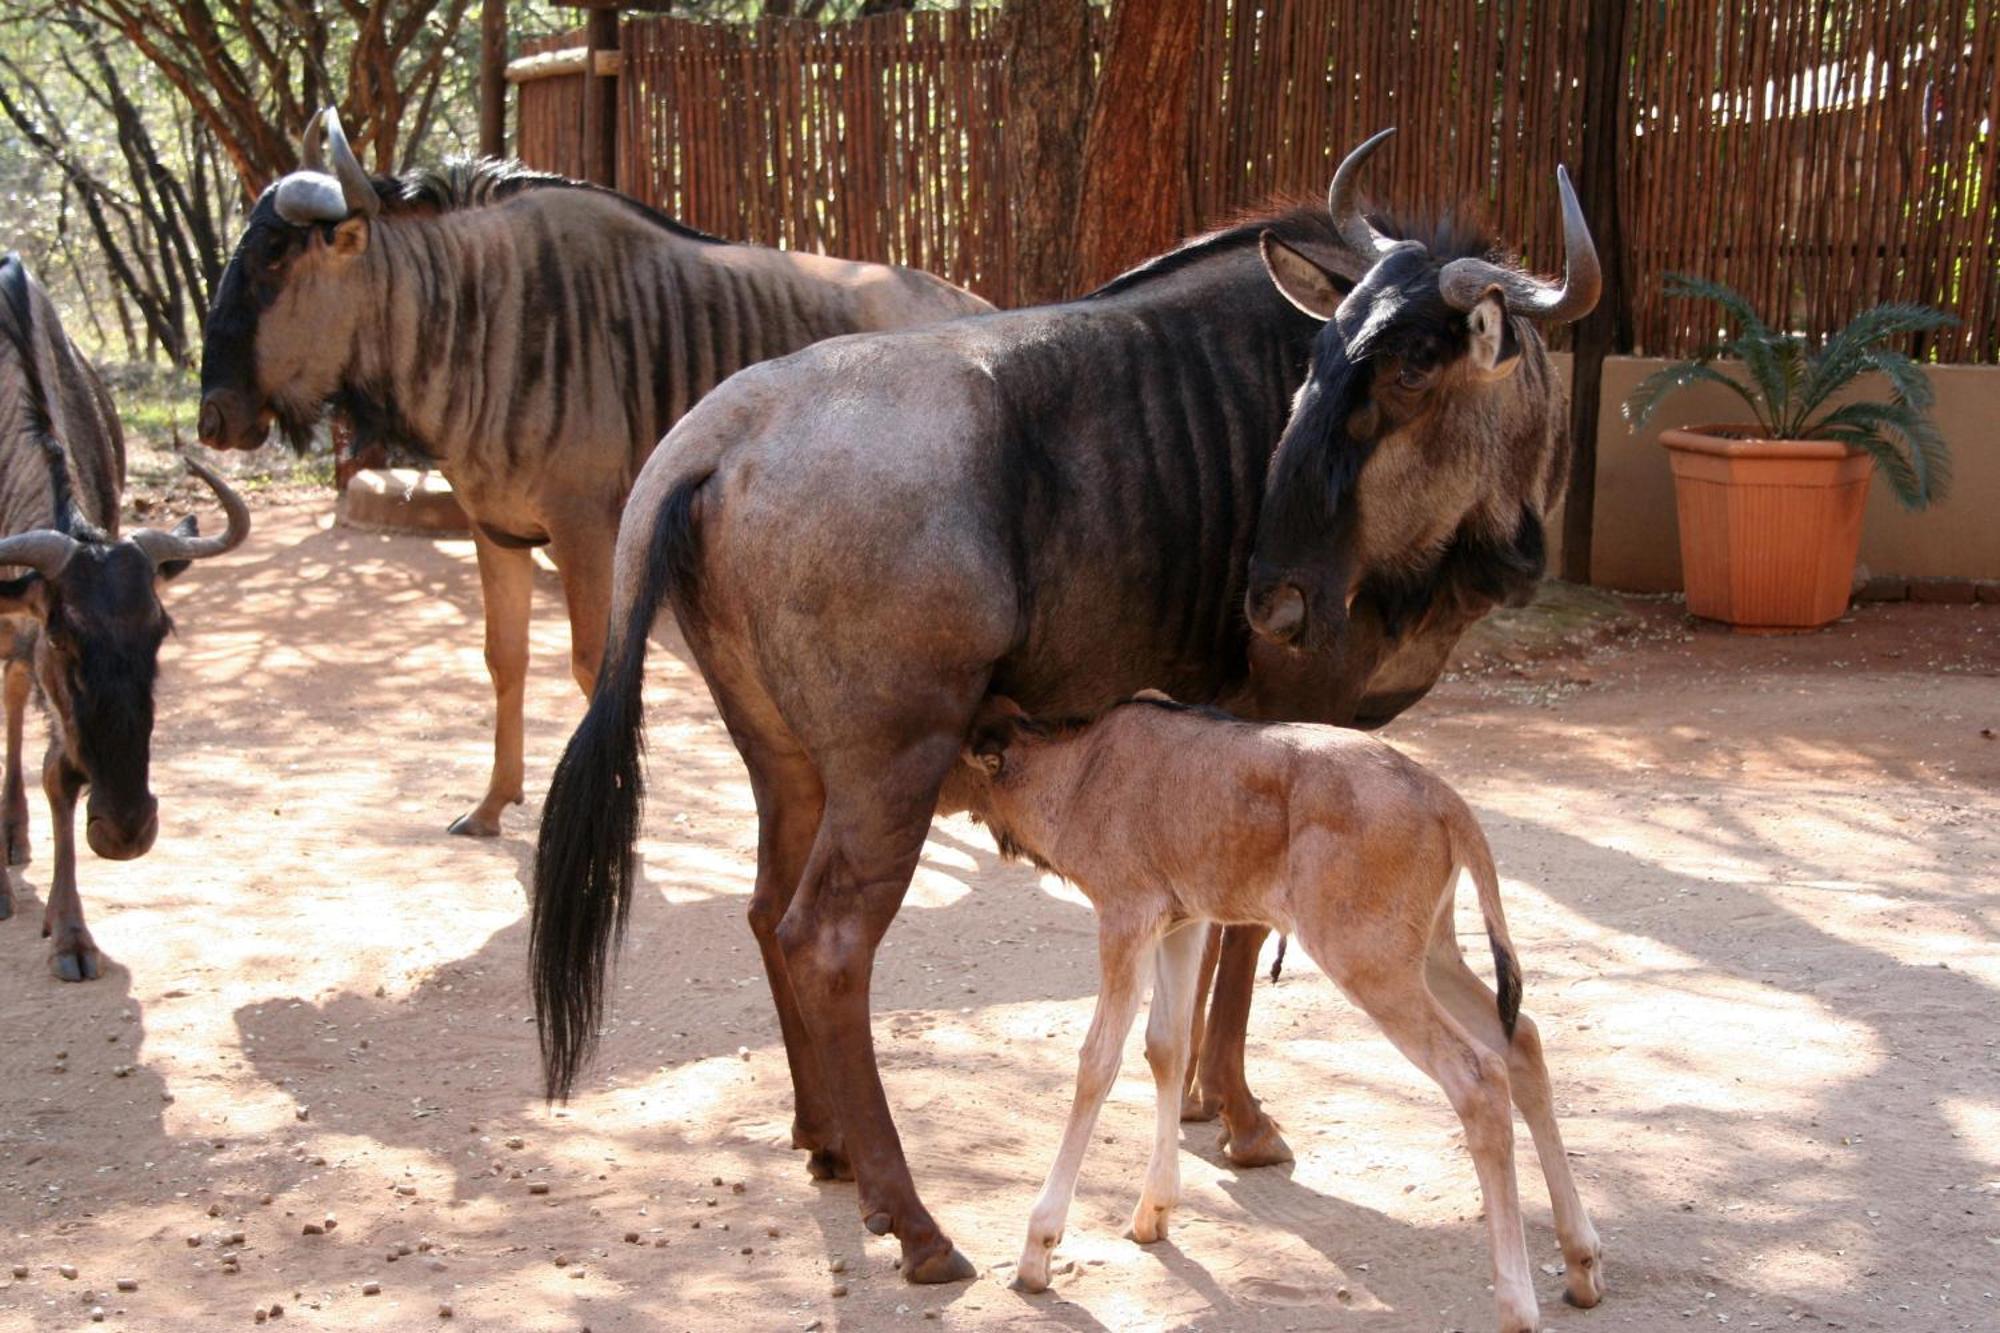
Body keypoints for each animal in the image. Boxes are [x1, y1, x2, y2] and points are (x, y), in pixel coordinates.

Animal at [0, 254, 250, 976]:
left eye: (160, 632)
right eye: (64, 635)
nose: (127, 828)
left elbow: (59, 773)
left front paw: (71, 930)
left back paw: (14, 832)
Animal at [195, 109, 992, 832]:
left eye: (273, 257)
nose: (213, 420)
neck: (480, 316)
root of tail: (972, 302)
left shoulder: (585, 534)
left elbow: (589, 669)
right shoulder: (496, 530)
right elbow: (505, 658)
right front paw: (491, 805)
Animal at [956, 688, 1608, 1320]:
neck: (1080, 771)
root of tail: (1445, 801)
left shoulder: (1126, 917)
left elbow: (1098, 1062)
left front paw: (1038, 1250)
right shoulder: (1183, 922)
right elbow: (1167, 1046)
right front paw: (1153, 1214)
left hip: (1368, 963)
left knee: (1478, 1077)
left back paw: (1516, 1304)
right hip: (1429, 955)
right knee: (1521, 1040)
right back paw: (1581, 1262)